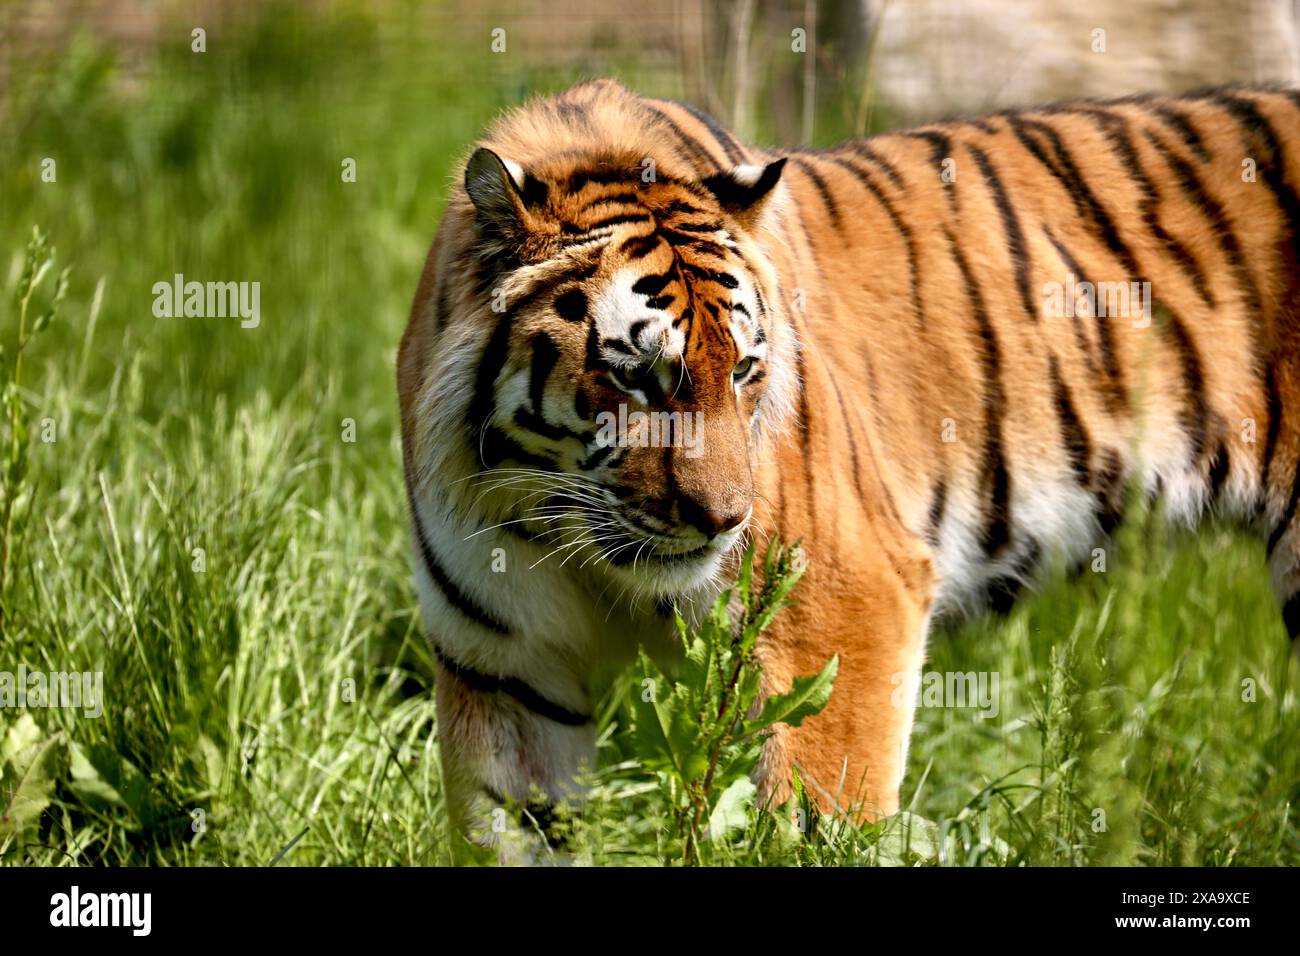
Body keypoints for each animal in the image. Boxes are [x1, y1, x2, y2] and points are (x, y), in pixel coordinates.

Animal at [395, 74, 1300, 853]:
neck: (558, 519)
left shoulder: (842, 603)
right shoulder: (505, 672)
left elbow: (821, 817)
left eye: (745, 370)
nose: (726, 520)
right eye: (638, 375)